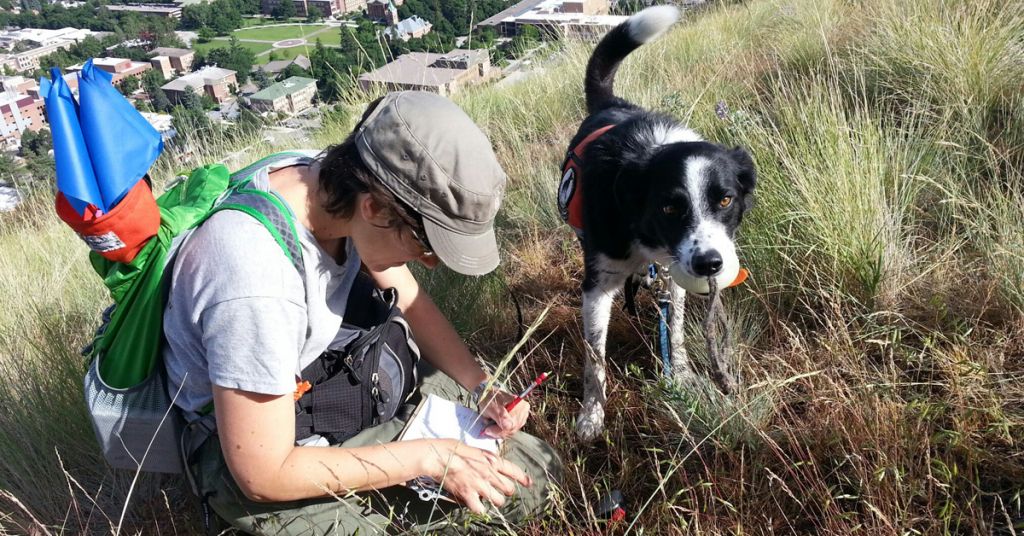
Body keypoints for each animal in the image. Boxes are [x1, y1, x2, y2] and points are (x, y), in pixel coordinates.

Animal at [557, 5, 757, 440]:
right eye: (670, 208)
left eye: (725, 199)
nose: (710, 265)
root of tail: (610, 102)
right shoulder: (597, 287)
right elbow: (595, 359)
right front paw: (592, 415)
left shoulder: (674, 271)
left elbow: (676, 330)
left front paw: (680, 376)